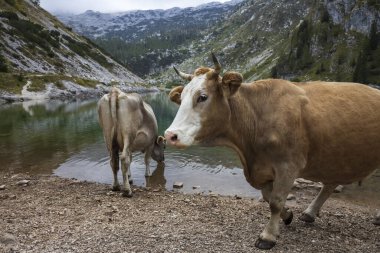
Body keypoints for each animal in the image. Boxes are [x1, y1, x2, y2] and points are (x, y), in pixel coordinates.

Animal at [164, 53, 380, 249]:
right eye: (181, 98)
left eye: (202, 97)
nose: (169, 135)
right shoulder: (263, 167)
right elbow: (269, 198)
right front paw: (288, 215)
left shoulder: (288, 165)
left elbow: (275, 201)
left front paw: (267, 236)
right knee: (330, 183)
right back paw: (309, 213)